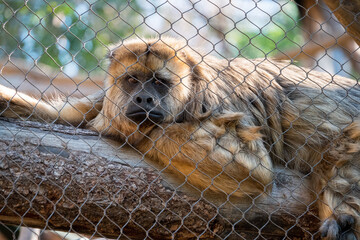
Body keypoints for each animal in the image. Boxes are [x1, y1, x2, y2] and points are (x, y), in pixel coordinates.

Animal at [0, 36, 360, 239]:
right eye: (133, 80)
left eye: (159, 83)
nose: (144, 99)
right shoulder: (108, 99)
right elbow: (63, 116)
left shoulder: (215, 98)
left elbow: (253, 167)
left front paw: (130, 134)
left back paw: (342, 221)